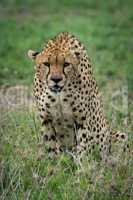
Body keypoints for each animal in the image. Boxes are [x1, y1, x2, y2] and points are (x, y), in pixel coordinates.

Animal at [27, 32, 128, 165]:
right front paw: (55, 167)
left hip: (118, 136)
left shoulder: (82, 120)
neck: (59, 94)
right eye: (46, 64)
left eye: (66, 64)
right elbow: (52, 148)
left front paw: (82, 167)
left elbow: (83, 148)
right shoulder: (46, 120)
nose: (56, 79)